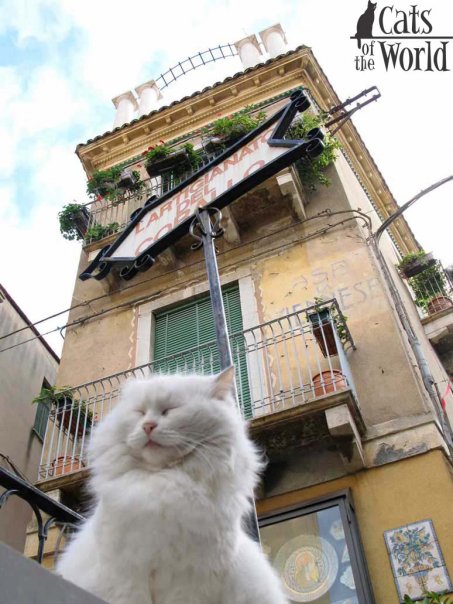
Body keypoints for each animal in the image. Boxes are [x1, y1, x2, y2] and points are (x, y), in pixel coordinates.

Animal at [55, 368, 286, 604]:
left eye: (169, 410)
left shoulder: (189, 579)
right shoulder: (126, 573)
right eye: (140, 412)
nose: (147, 426)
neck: (165, 482)